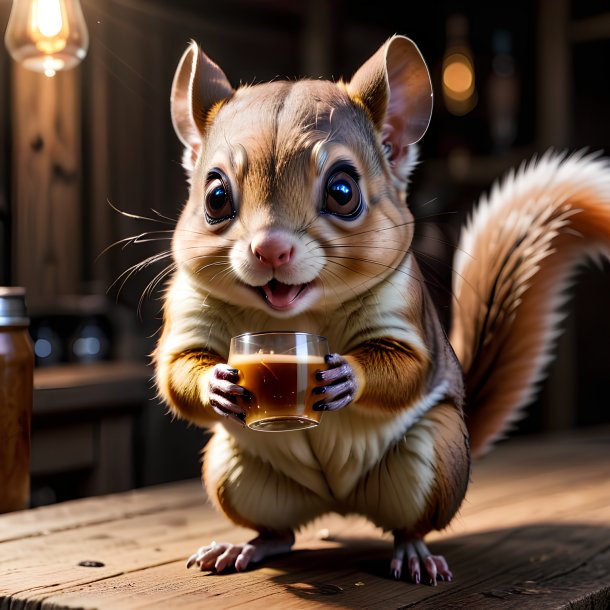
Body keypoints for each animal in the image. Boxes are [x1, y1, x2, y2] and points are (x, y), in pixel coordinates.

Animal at [152, 34, 608, 584]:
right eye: (216, 196)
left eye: (342, 191)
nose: (270, 250)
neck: (291, 319)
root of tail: (338, 502)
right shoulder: (188, 307)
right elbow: (176, 369)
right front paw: (218, 382)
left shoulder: (404, 307)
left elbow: (407, 365)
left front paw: (347, 377)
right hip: (233, 471)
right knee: (281, 532)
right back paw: (244, 547)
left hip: (437, 453)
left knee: (409, 525)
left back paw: (414, 554)